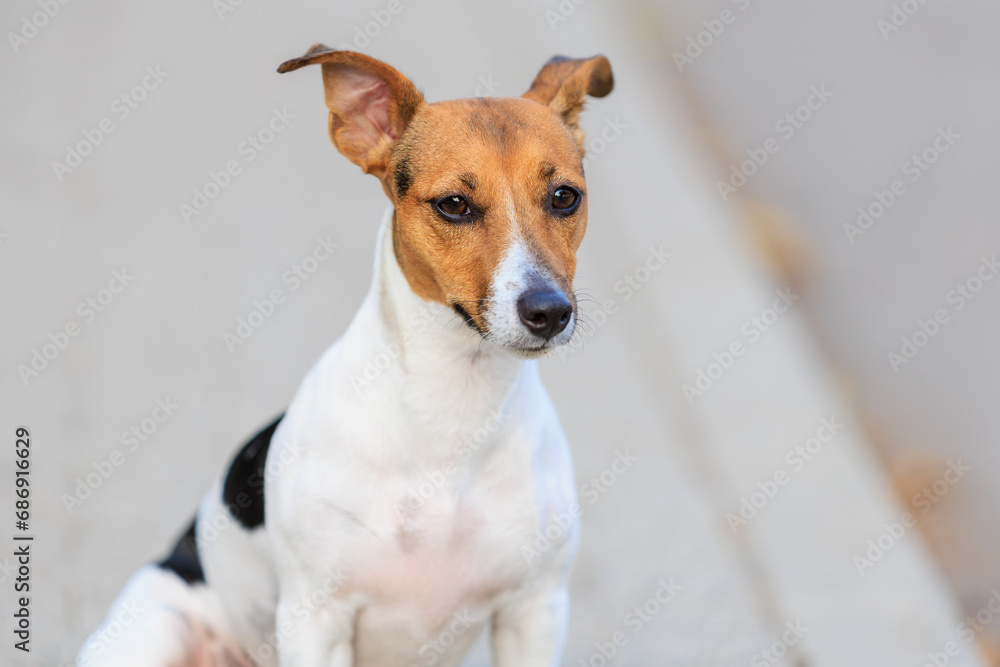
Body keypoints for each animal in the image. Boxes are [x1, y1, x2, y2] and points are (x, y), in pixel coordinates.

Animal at [78, 44, 608, 664]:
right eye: (454, 205)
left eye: (565, 197)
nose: (549, 311)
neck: (452, 402)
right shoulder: (316, 621)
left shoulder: (535, 611)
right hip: (154, 630)